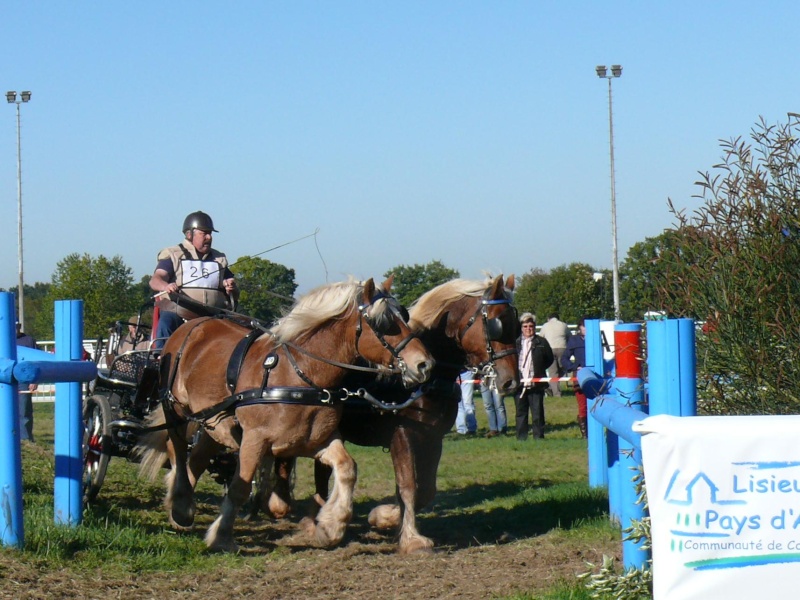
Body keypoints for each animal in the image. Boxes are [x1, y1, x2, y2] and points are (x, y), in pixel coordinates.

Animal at [140, 278, 434, 552]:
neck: (300, 375)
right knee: (177, 451)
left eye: (403, 316)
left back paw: (182, 509)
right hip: (177, 409)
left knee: (197, 457)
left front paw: (331, 525)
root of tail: (192, 325)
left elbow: (347, 468)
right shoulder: (254, 439)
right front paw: (222, 537)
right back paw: (179, 501)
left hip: (215, 424)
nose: (424, 364)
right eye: (384, 323)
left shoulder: (316, 439)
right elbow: (239, 488)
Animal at [266, 274, 520, 556]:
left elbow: (425, 490)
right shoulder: (403, 435)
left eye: (517, 326)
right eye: (497, 323)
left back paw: (317, 520)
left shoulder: (433, 438)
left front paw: (384, 517)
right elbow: (408, 485)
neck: (424, 384)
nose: (511, 382)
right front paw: (411, 539)